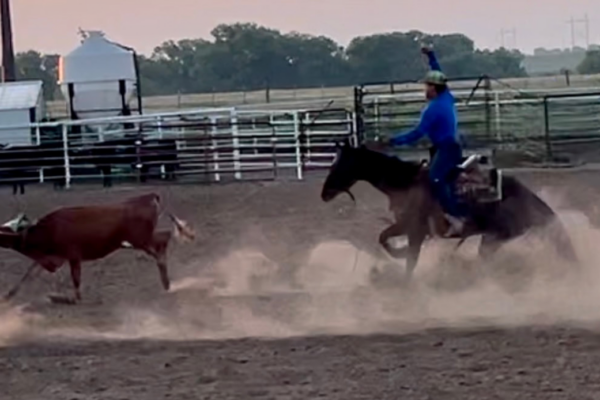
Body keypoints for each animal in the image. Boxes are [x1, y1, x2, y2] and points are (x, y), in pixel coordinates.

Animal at [0, 193, 195, 304]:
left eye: (4, 230)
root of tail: (148, 197)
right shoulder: (52, 258)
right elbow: (30, 274)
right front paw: (9, 295)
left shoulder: (73, 256)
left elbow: (75, 278)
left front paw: (74, 299)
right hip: (141, 239)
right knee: (164, 236)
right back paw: (166, 281)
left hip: (141, 239)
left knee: (162, 241)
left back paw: (165, 278)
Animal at [322, 141, 580, 282]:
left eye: (340, 164)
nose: (324, 193)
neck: (405, 183)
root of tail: (532, 199)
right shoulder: (405, 226)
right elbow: (384, 238)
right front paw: (399, 253)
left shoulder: (415, 229)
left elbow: (408, 258)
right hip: (491, 238)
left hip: (496, 236)